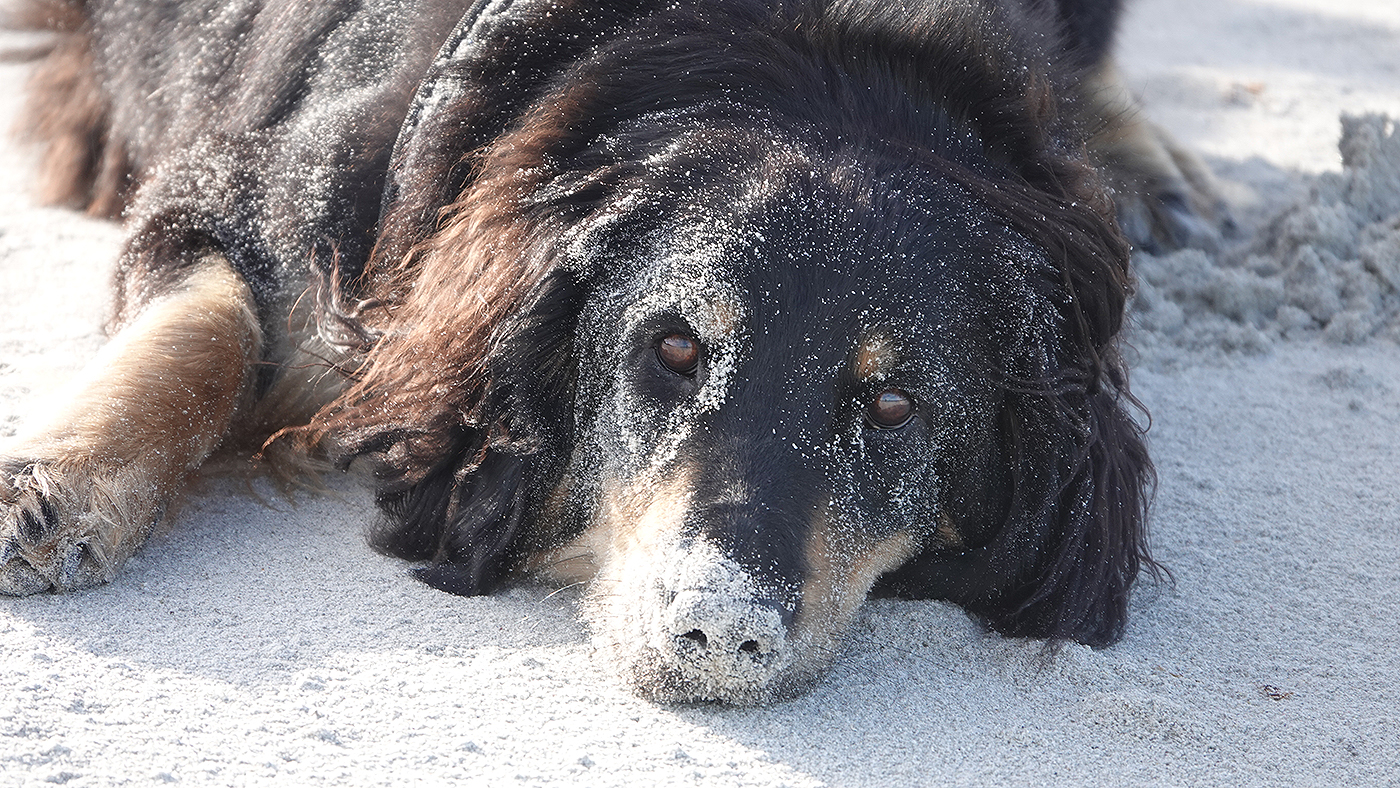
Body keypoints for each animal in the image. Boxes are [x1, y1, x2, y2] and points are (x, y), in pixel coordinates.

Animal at [2, 0, 1222, 703]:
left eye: (892, 407)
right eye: (673, 347)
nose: (718, 630)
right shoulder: (262, 190)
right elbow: (204, 329)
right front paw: (58, 483)